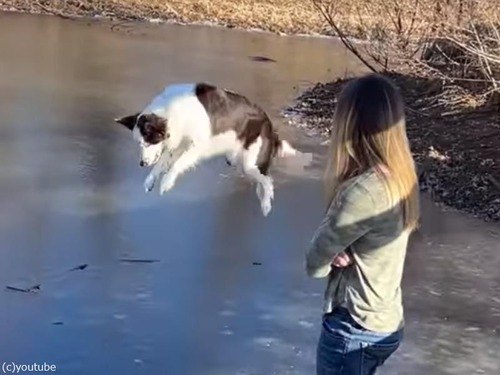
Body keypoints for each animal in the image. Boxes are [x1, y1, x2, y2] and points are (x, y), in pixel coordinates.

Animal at [114, 82, 298, 217]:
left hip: (249, 163)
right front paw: (150, 181)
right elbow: (163, 163)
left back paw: (266, 205)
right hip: (235, 160)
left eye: (148, 143)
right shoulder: (179, 143)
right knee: (263, 179)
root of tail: (270, 126)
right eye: (139, 144)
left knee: (268, 180)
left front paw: (166, 183)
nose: (142, 164)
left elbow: (177, 164)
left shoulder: (197, 145)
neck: (171, 112)